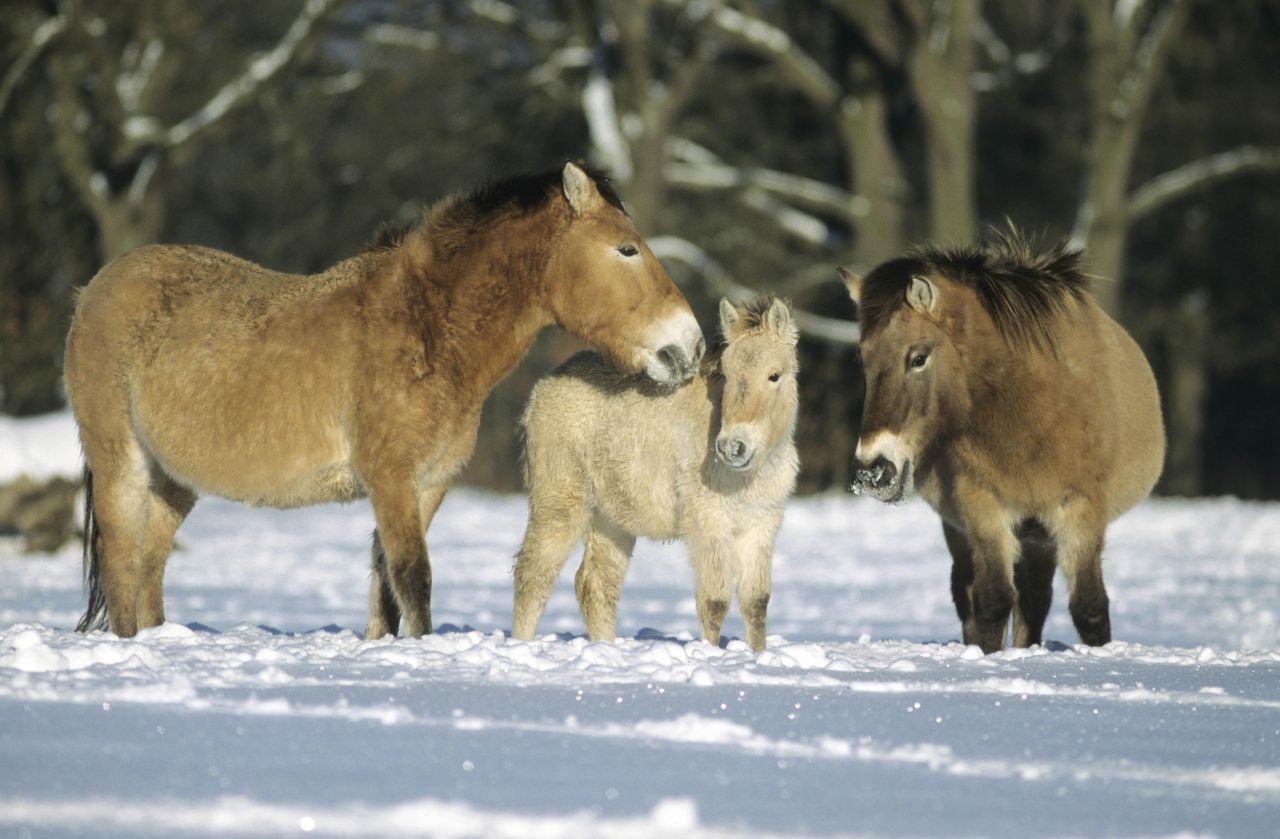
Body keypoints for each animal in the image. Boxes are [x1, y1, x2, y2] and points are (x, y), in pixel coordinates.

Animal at [64, 162, 706, 637]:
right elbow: (413, 577)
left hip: (173, 481)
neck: (426, 328)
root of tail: (95, 287)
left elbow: (387, 590)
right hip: (121, 463)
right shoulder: (390, 477)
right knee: (121, 562)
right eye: (626, 250)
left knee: (148, 566)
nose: (690, 346)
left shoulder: (428, 482)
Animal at [512, 298, 798, 653]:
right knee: (533, 575)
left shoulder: (761, 525)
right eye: (727, 375)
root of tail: (542, 389)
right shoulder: (708, 523)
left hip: (610, 520)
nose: (734, 446)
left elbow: (756, 603)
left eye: (774, 375)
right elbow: (714, 601)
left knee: (596, 584)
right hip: (559, 504)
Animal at [844, 229, 1167, 655]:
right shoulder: (982, 507)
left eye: (918, 357)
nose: (873, 470)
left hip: (1040, 538)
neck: (1031, 413)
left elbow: (1089, 609)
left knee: (1035, 598)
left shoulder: (1081, 511)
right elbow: (992, 600)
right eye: (863, 361)